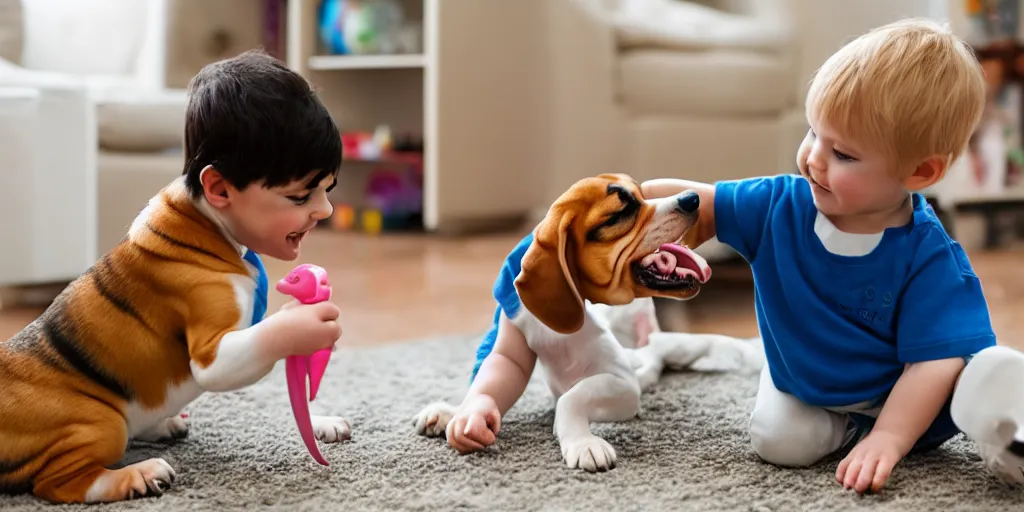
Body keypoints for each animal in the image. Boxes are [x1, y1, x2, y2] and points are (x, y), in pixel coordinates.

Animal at [0, 177, 348, 503]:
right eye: (299, 197)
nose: (323, 213)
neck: (205, 221)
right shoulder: (215, 351)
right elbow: (268, 344)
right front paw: (301, 324)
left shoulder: (247, 338)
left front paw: (323, 422)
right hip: (102, 422)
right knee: (58, 482)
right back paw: (141, 475)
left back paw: (163, 427)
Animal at [411, 173, 765, 471]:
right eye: (619, 214)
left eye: (642, 194)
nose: (693, 198)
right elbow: (501, 371)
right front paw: (469, 417)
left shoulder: (622, 383)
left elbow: (572, 399)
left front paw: (583, 444)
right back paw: (450, 411)